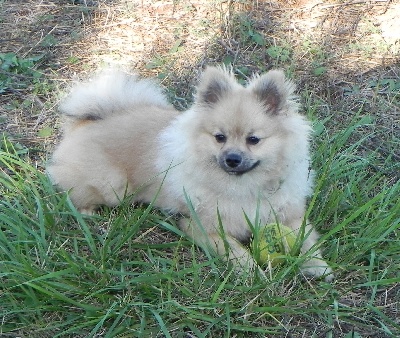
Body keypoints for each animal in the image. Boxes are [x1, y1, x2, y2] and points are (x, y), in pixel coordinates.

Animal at [47, 67, 334, 282]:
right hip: (115, 187)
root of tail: (87, 121)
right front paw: (252, 271)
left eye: (253, 140)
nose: (232, 158)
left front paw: (317, 266)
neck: (244, 187)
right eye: (220, 137)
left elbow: (305, 240)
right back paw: (88, 214)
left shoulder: (291, 216)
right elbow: (235, 250)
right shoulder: (202, 227)